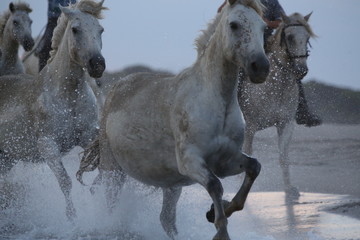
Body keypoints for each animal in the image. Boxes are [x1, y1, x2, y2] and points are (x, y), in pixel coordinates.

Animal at [0, 0, 106, 218]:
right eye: (75, 29)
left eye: (101, 30)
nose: (98, 65)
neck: (68, 95)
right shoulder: (48, 145)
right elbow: (65, 181)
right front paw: (72, 217)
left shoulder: (87, 136)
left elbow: (101, 169)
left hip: (7, 159)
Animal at [79, 0, 270, 239]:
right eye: (234, 24)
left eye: (263, 27)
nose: (260, 67)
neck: (216, 101)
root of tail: (117, 87)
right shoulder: (191, 162)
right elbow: (215, 186)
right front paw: (219, 226)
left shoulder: (226, 161)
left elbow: (254, 167)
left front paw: (219, 210)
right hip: (112, 170)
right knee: (111, 208)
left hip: (171, 185)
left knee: (166, 220)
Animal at [239, 11, 316, 199]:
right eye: (289, 37)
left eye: (307, 37)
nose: (301, 70)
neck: (275, 86)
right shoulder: (250, 126)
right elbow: (247, 152)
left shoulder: (286, 124)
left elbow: (283, 157)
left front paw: (289, 189)